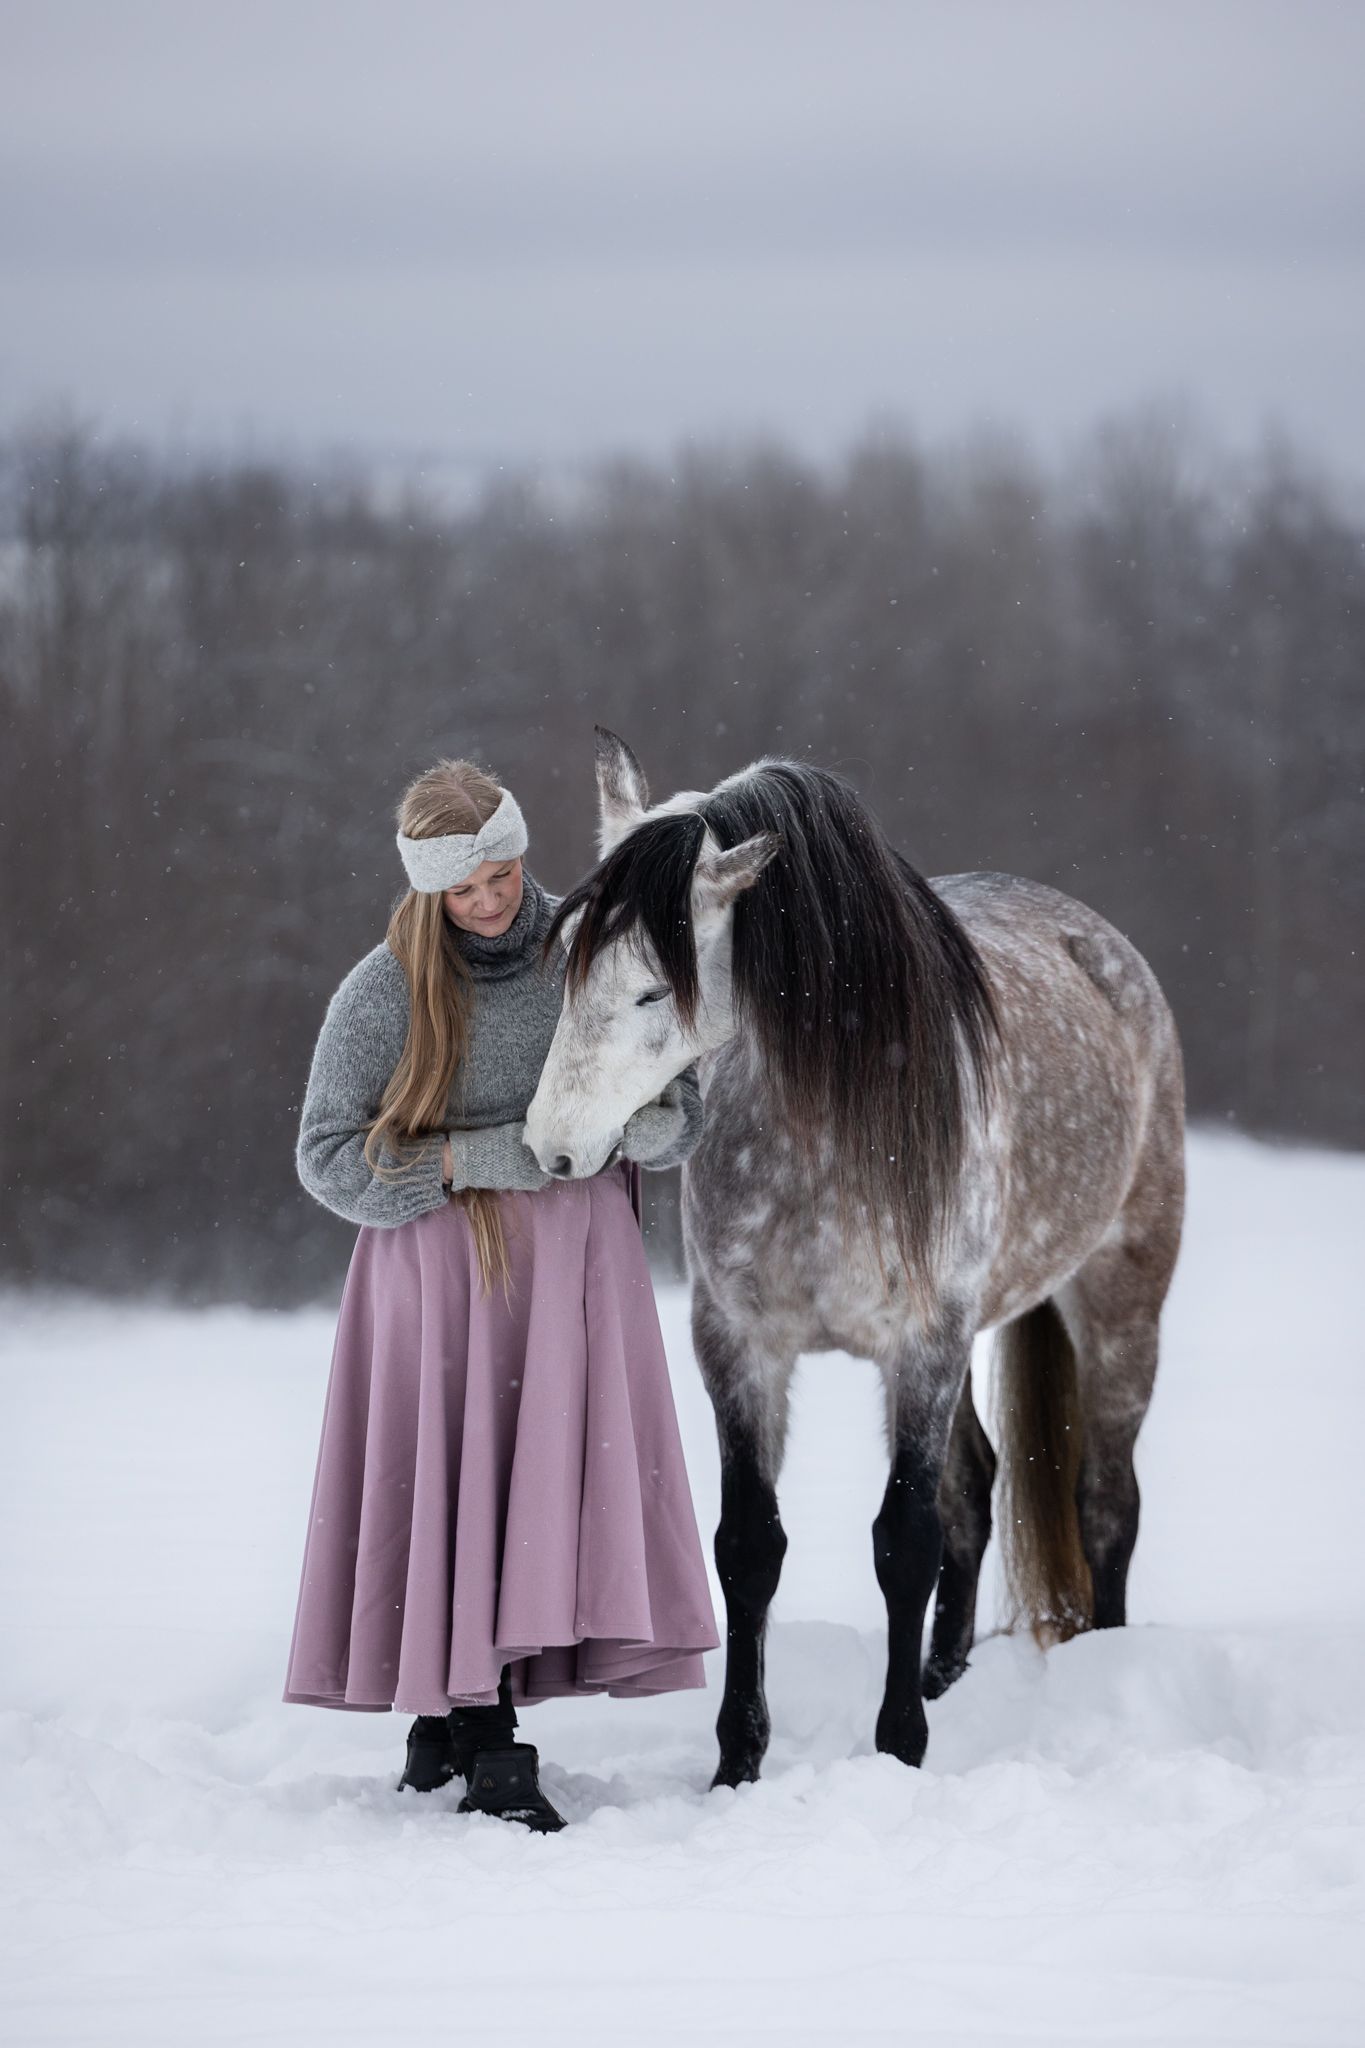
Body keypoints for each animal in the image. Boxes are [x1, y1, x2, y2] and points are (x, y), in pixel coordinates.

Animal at [524, 727, 1185, 1788]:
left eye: (652, 985)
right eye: (566, 970)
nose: (553, 1147)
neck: (832, 1120)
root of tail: (1101, 949)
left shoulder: (923, 1344)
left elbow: (903, 1541)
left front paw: (898, 1748)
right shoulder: (739, 1344)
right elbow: (750, 1547)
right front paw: (738, 1763)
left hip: (1118, 1301)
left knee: (1102, 1501)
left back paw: (1094, 1668)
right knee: (977, 1485)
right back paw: (944, 1677)